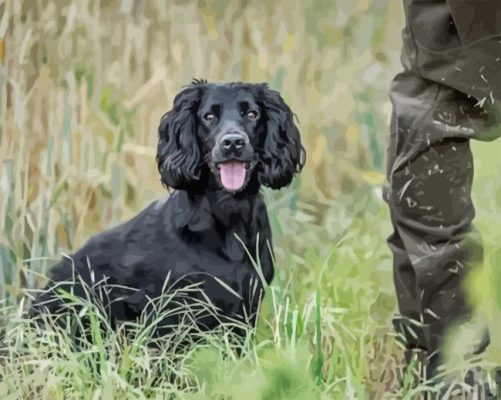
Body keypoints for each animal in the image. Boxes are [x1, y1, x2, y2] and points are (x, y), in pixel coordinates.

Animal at [32, 80, 304, 338]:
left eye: (251, 114)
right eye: (209, 116)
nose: (233, 143)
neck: (227, 219)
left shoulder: (244, 310)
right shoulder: (167, 313)